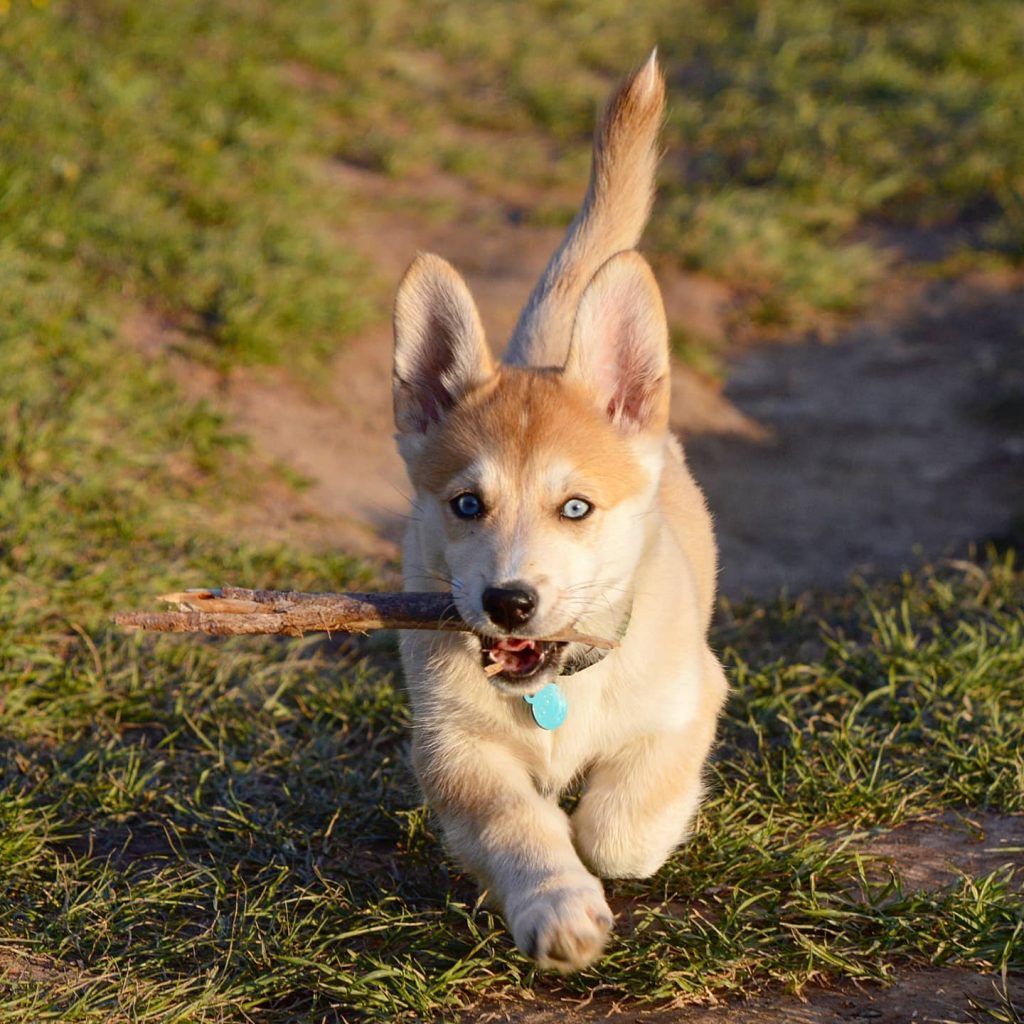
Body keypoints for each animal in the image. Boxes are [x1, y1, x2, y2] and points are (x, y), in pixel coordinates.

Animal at [389, 51, 729, 970]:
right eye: (467, 503)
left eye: (576, 506)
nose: (509, 602)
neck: (555, 693)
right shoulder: (454, 748)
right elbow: (519, 824)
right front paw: (557, 906)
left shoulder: (691, 701)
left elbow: (618, 826)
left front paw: (612, 848)